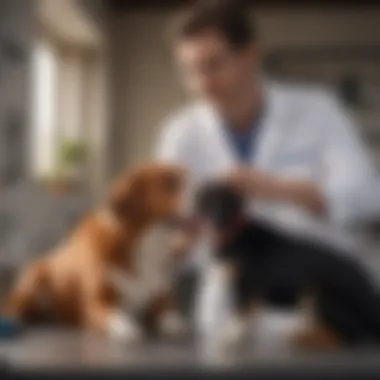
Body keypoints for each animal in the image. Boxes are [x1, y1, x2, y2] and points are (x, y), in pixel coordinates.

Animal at [2, 163, 188, 342]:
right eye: (169, 182)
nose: (197, 195)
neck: (141, 245)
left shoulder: (159, 294)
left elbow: (168, 312)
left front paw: (174, 323)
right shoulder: (97, 304)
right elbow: (116, 314)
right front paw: (127, 327)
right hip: (34, 275)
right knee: (15, 305)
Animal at [196, 181, 380, 350]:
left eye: (227, 205)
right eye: (208, 203)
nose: (216, 222)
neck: (235, 234)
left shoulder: (247, 284)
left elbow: (240, 313)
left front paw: (229, 337)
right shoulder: (252, 289)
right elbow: (250, 315)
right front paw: (244, 336)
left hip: (322, 292)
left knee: (350, 337)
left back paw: (302, 338)